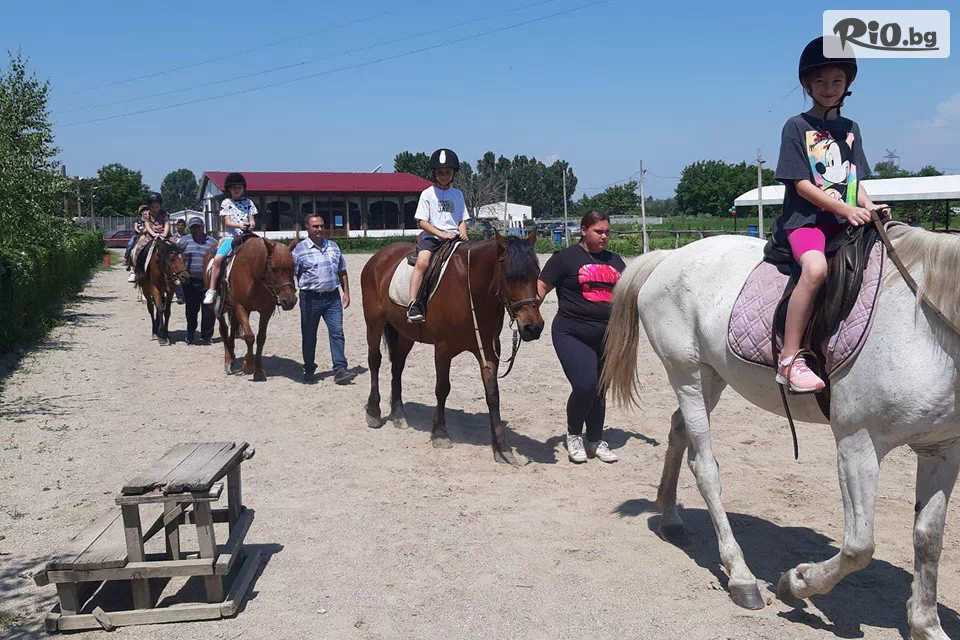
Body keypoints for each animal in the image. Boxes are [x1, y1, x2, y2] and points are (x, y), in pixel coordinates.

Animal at [203, 236, 297, 381]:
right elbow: (249, 336)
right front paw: (248, 364)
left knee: (233, 327)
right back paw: (228, 360)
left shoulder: (266, 310)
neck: (253, 274)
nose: (290, 301)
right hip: (220, 307)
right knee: (223, 329)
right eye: (274, 268)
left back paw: (233, 356)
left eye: (293, 266)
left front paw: (258, 370)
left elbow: (261, 338)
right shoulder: (241, 307)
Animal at [361, 231, 544, 464]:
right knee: (374, 361)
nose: (533, 327)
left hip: (404, 333)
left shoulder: (488, 351)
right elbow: (442, 388)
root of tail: (378, 257)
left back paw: (399, 415)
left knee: (397, 367)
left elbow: (493, 394)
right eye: (510, 276)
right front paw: (440, 433)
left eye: (537, 273)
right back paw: (373, 412)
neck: (470, 289)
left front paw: (502, 447)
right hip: (374, 322)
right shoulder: (443, 349)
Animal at [601, 226, 960, 638]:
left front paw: (926, 625)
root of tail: (670, 256)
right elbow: (859, 546)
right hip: (687, 374)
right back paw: (741, 577)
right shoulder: (858, 443)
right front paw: (796, 583)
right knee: (705, 468)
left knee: (678, 430)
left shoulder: (941, 449)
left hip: (712, 379)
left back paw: (671, 519)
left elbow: (929, 539)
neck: (927, 326)